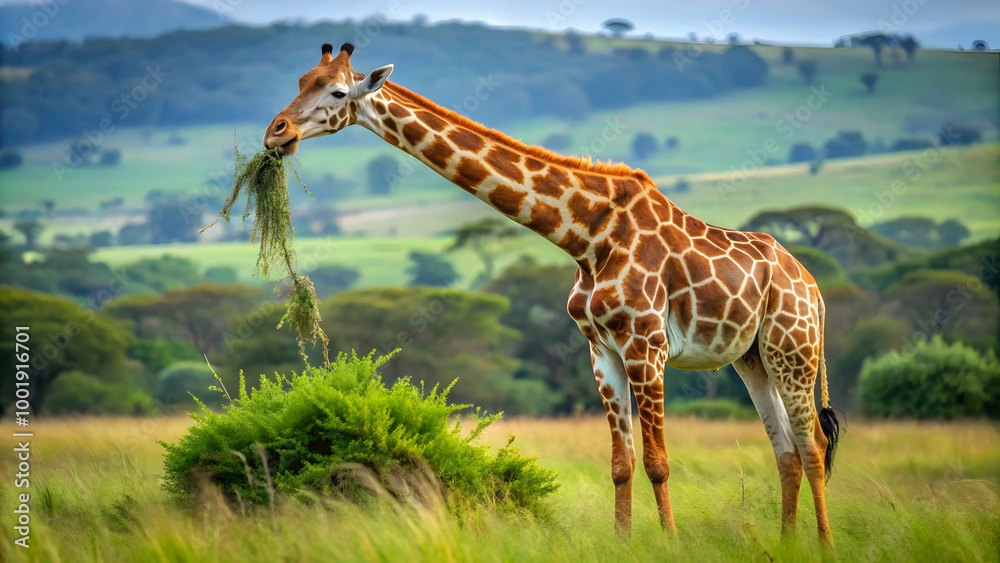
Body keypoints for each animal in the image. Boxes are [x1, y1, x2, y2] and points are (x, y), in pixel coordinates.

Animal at [263, 43, 842, 546]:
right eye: (299, 81)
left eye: (337, 91)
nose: (276, 131)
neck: (586, 235)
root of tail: (813, 288)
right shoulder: (601, 349)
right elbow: (621, 463)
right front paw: (623, 542)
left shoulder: (646, 345)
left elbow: (657, 461)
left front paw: (671, 543)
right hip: (753, 357)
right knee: (786, 451)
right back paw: (786, 542)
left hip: (794, 350)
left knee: (813, 445)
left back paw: (824, 544)